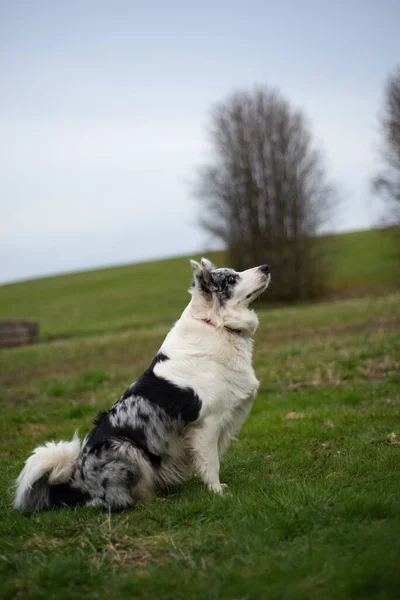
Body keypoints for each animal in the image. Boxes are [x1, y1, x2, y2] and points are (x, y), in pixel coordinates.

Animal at [14, 258, 272, 510]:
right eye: (230, 279)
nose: (266, 267)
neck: (215, 323)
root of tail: (77, 486)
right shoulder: (207, 422)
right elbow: (211, 463)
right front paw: (217, 493)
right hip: (124, 447)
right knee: (109, 502)